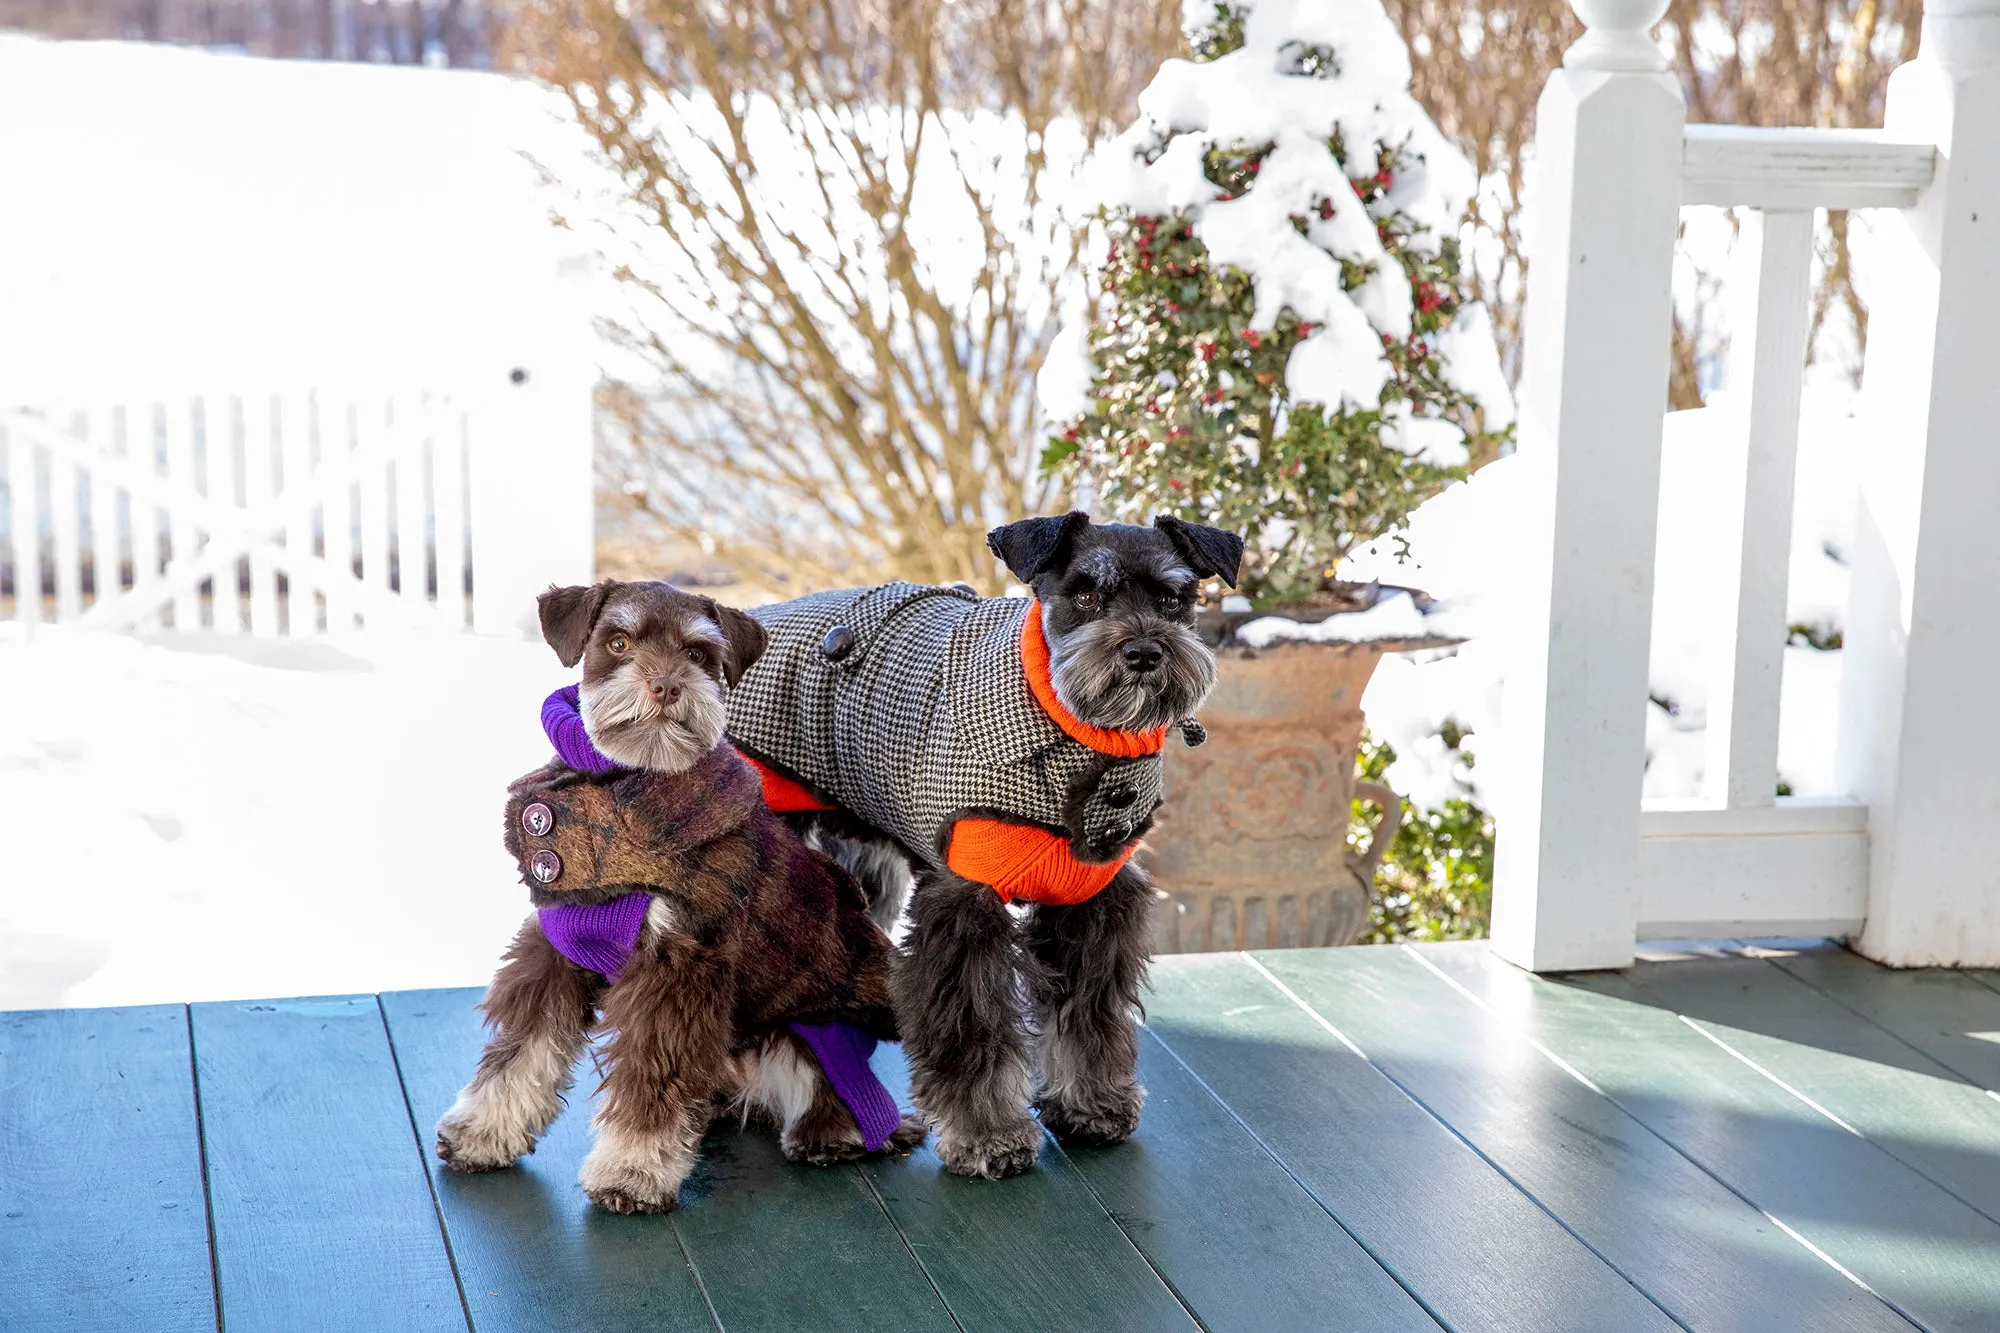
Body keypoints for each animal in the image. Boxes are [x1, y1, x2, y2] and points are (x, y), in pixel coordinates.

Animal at [438, 576, 920, 1208]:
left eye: (697, 653)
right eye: (618, 642)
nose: (667, 684)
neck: (625, 789)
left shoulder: (679, 966)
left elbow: (654, 1077)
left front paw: (632, 1170)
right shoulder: (557, 947)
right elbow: (522, 1052)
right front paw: (482, 1132)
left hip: (798, 1035)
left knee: (832, 1093)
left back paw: (837, 1134)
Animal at [728, 508, 1240, 1176]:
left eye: (1174, 597)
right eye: (1085, 593)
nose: (1145, 652)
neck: (1071, 728)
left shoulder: (1093, 899)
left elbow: (1088, 1014)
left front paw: (1091, 1105)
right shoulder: (965, 906)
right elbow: (974, 1027)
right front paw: (989, 1135)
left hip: (863, 876)